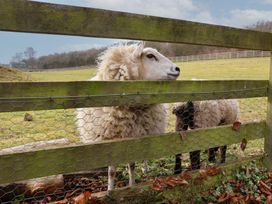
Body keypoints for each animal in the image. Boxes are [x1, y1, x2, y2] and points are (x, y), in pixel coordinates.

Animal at [75, 42, 181, 190]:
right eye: (150, 56)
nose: (177, 69)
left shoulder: (134, 138)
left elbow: (132, 165)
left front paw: (132, 185)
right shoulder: (111, 141)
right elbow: (111, 171)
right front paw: (110, 189)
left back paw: (145, 168)